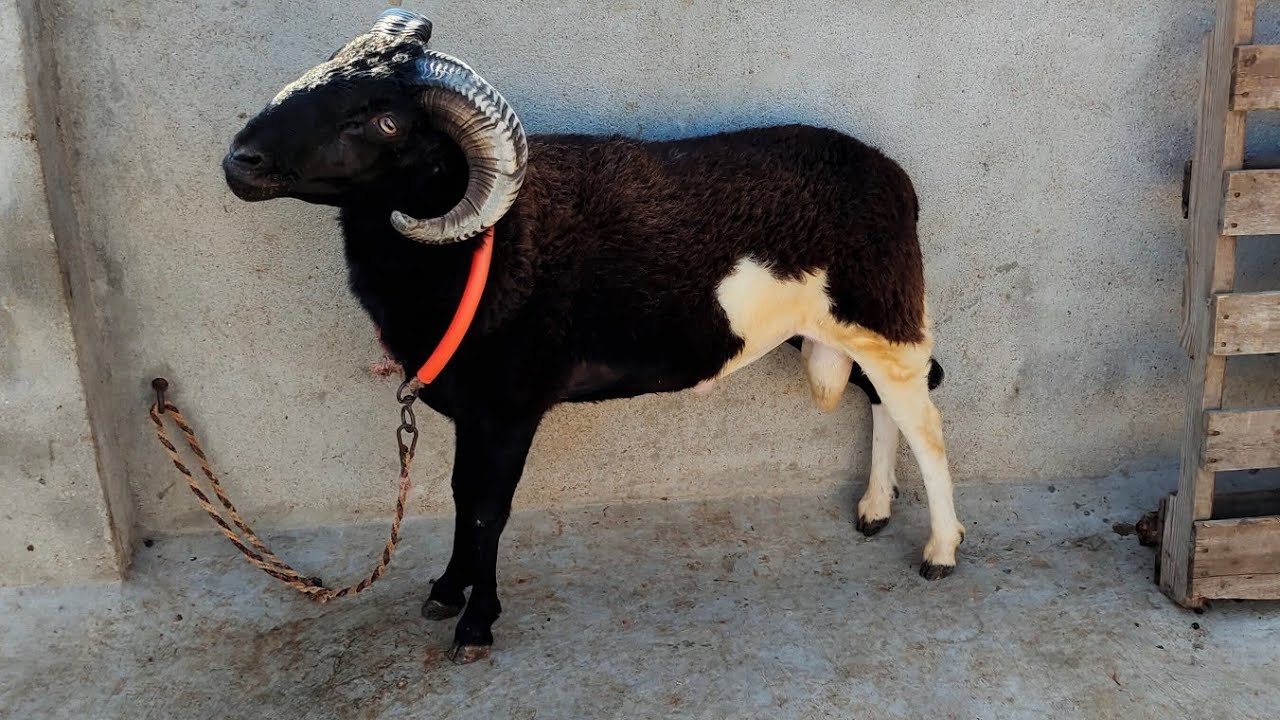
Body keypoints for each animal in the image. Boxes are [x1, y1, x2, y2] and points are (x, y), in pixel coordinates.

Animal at [223, 8, 964, 663]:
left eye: (384, 120)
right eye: (326, 69)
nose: (240, 160)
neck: (486, 245)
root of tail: (896, 180)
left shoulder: (510, 409)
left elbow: (488, 509)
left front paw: (475, 626)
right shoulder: (472, 408)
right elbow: (462, 497)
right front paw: (446, 590)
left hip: (886, 320)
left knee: (924, 423)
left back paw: (942, 551)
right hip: (846, 331)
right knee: (883, 405)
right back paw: (873, 510)